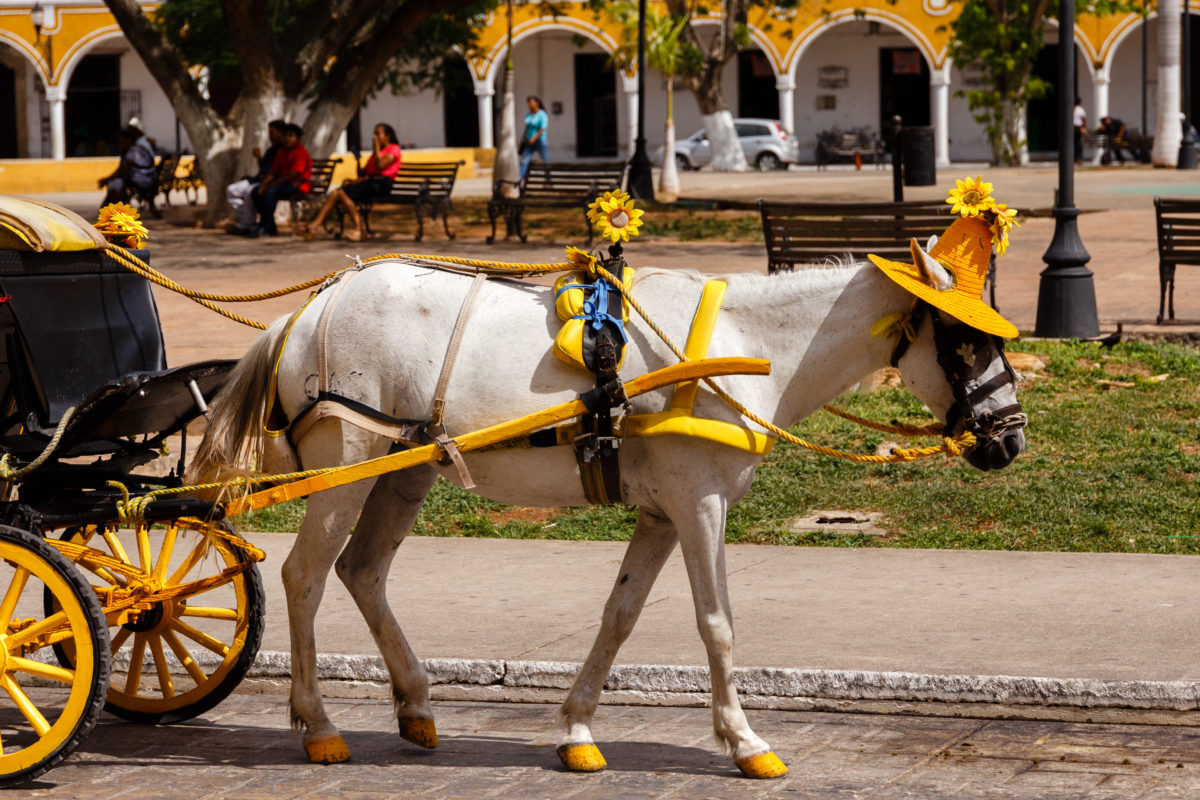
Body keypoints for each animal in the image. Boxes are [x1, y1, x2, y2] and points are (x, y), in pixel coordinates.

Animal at [192, 253, 1027, 777]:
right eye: (963, 340)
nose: (1012, 436)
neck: (748, 347)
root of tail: (306, 314)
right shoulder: (699, 502)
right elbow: (717, 622)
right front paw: (743, 739)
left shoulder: (662, 513)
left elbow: (619, 616)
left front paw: (577, 728)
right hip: (347, 463)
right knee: (305, 576)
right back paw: (319, 725)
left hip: (401, 470)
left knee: (362, 571)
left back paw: (417, 703)